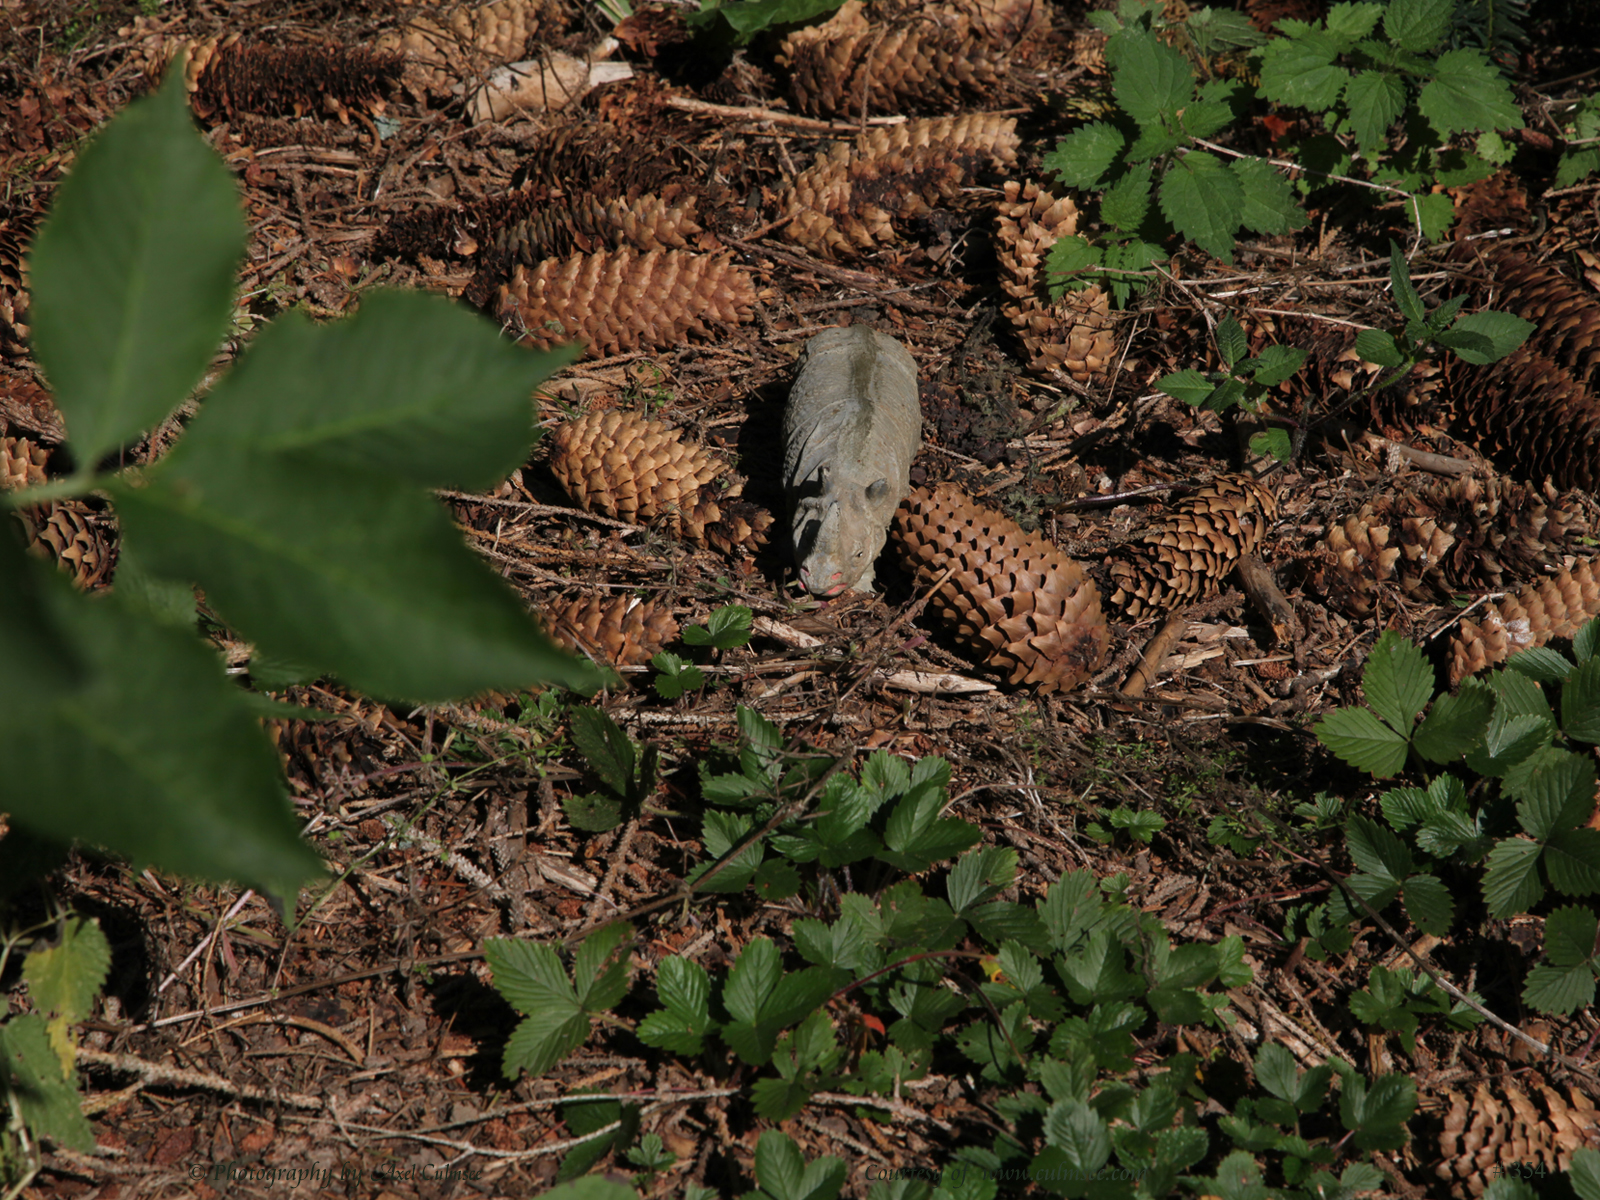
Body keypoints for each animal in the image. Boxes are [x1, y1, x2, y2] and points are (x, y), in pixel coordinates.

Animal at [782, 326, 922, 597]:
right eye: (802, 540)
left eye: (858, 554)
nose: (818, 585)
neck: (849, 473)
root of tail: (860, 327)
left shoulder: (879, 511)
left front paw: (863, 588)